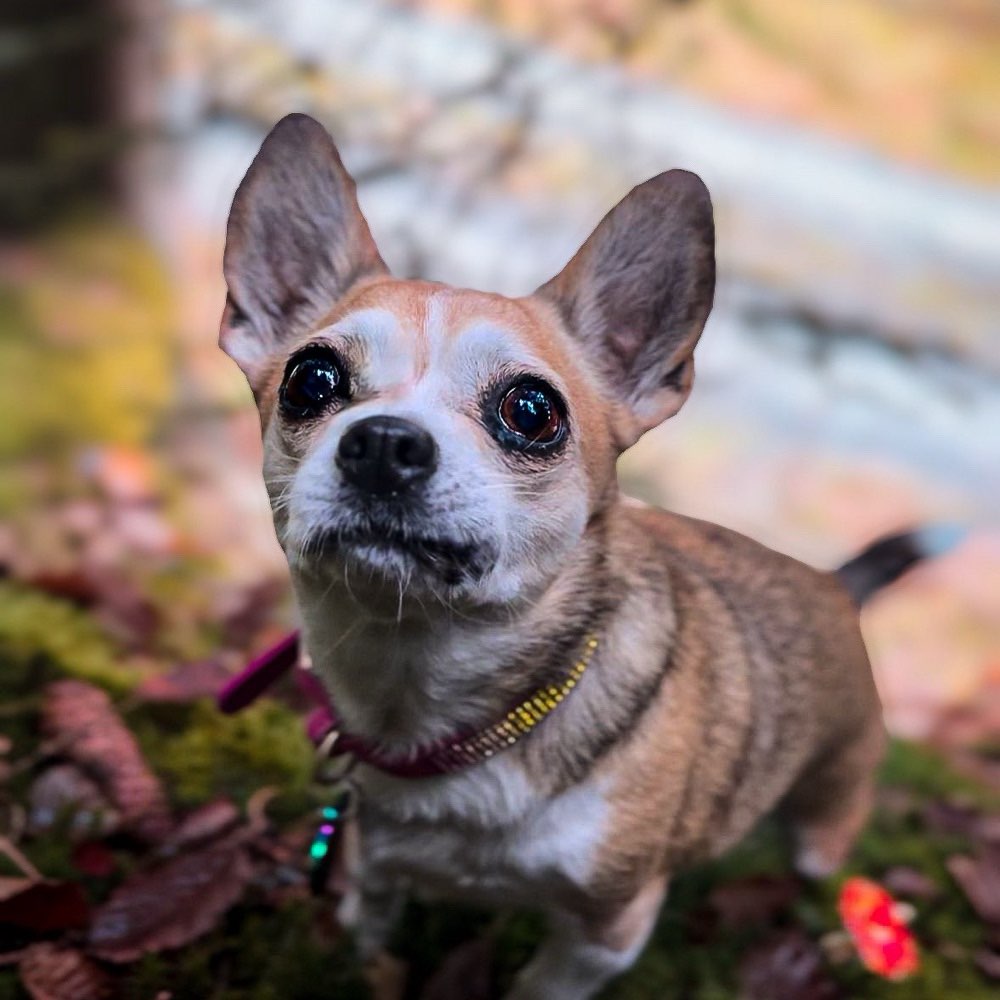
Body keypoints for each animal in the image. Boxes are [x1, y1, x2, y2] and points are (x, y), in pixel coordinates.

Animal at [219, 113, 952, 996]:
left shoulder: (606, 933)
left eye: (531, 410)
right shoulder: (376, 867)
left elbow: (542, 985)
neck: (420, 691)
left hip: (825, 820)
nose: (385, 443)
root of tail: (835, 585)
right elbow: (371, 935)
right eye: (310, 379)